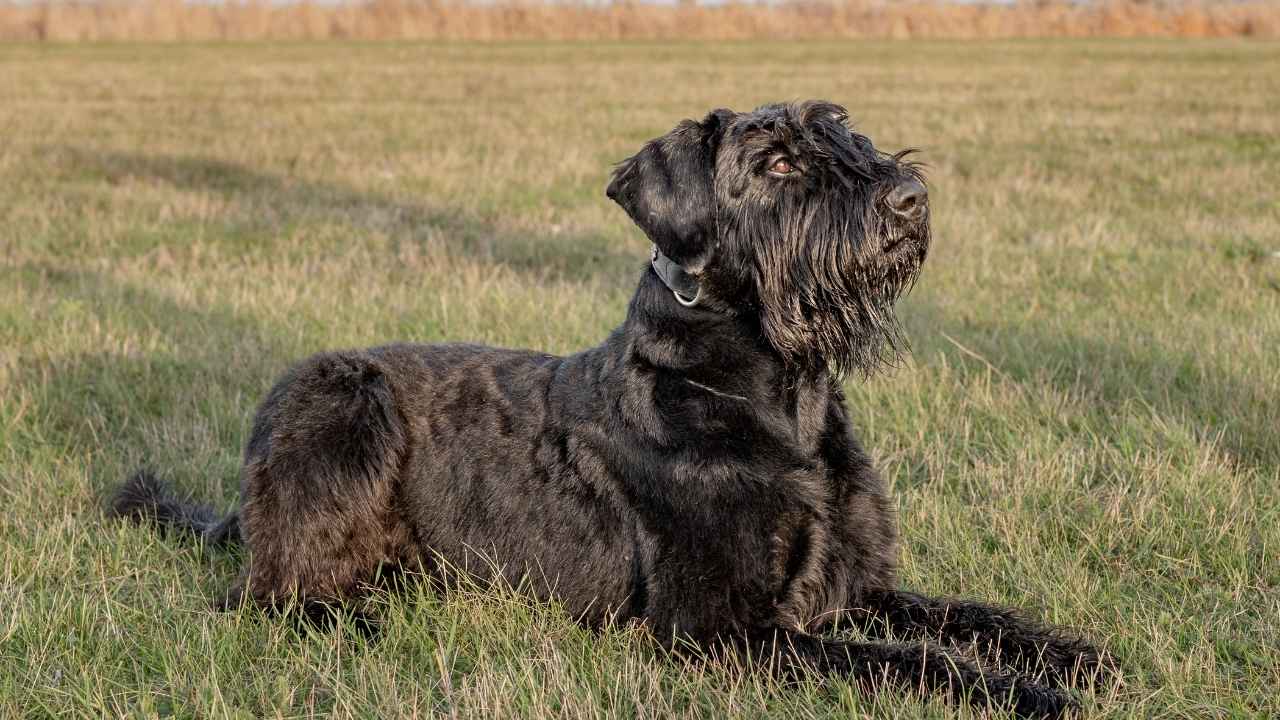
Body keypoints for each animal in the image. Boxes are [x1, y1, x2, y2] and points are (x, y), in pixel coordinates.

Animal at [112, 102, 1111, 717]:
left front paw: (1073, 659)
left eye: (844, 131)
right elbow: (910, 660)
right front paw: (1024, 695)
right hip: (343, 400)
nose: (908, 199)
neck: (775, 395)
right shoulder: (723, 632)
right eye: (776, 160)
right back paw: (353, 622)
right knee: (268, 595)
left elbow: (970, 618)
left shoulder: (858, 589)